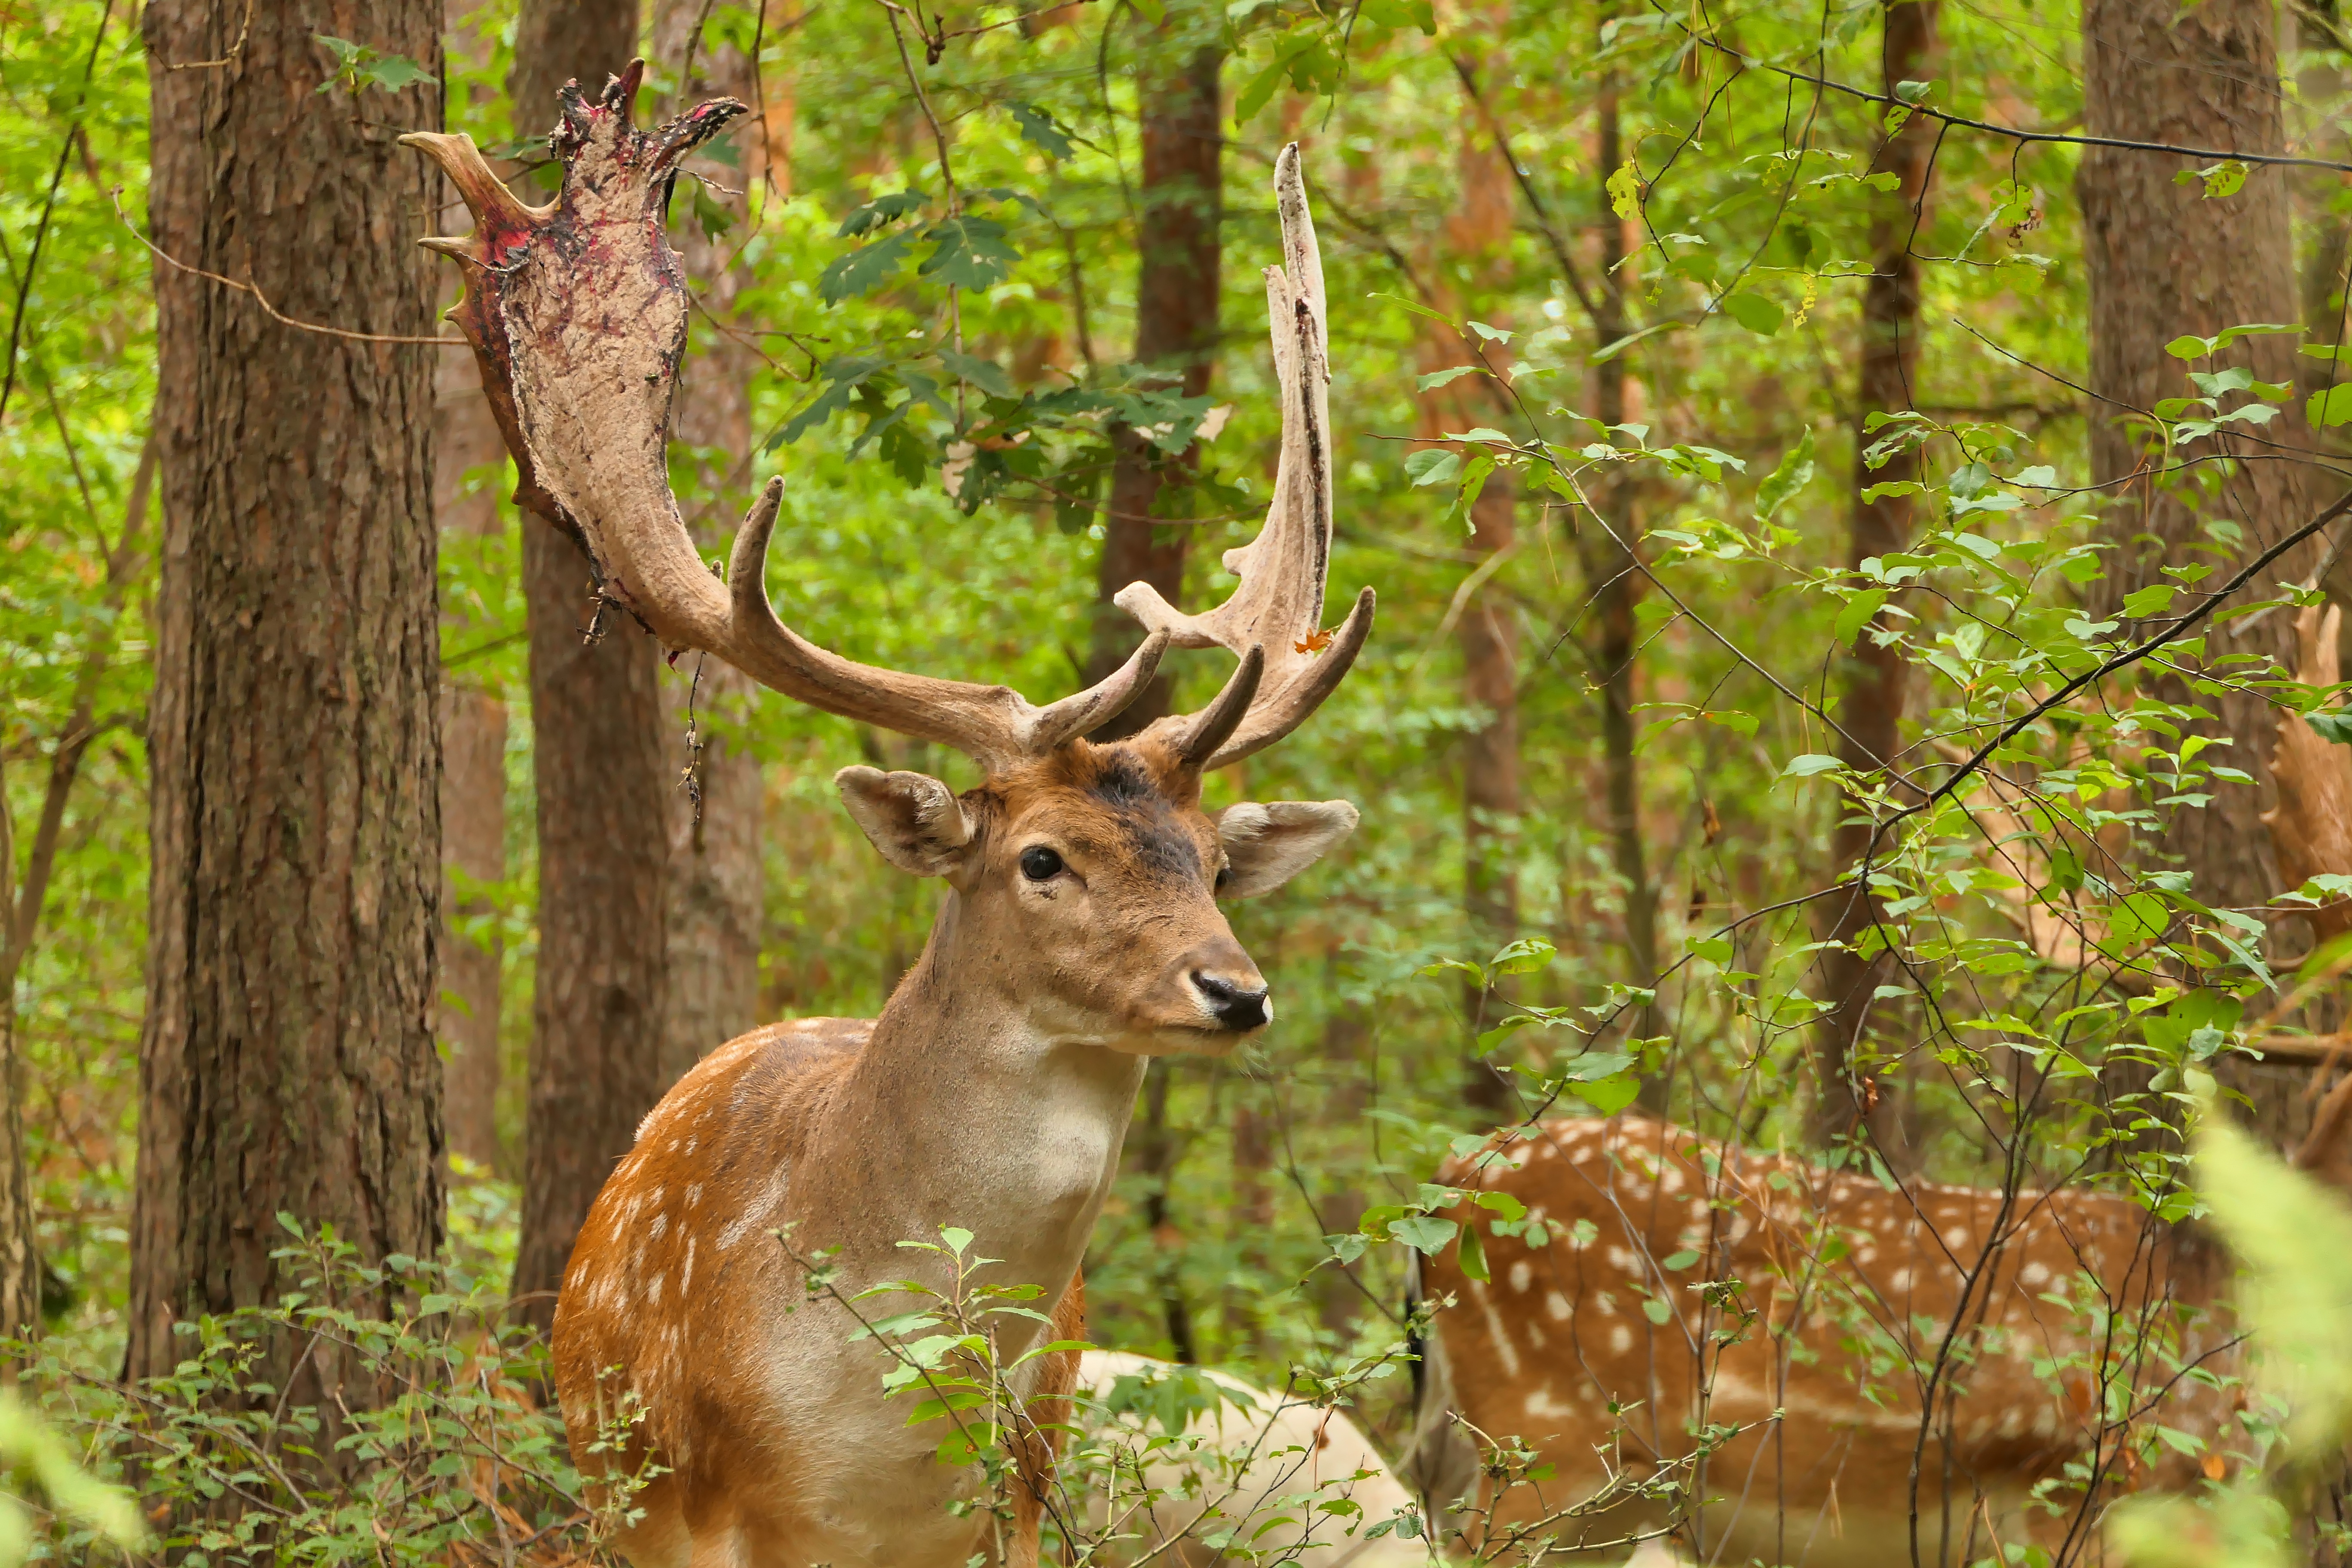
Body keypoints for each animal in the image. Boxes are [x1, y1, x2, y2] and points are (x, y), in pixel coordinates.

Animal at [414, 67, 1373, 1568]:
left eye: (1214, 863)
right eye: (1042, 858)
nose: (1236, 991)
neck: (884, 1439)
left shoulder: (1025, 1490)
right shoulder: (718, 1510)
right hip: (610, 1467)